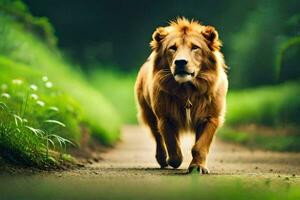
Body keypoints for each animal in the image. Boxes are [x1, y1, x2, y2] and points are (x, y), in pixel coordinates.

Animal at [134, 17, 227, 173]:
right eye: (172, 48)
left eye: (195, 47)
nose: (181, 62)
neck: (187, 90)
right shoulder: (165, 118)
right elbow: (173, 146)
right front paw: (173, 161)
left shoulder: (210, 117)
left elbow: (200, 146)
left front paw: (198, 167)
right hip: (148, 113)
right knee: (158, 138)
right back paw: (162, 160)